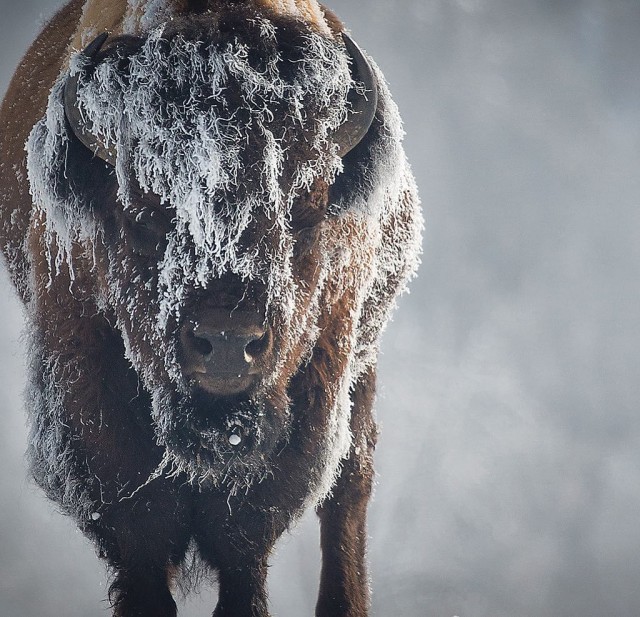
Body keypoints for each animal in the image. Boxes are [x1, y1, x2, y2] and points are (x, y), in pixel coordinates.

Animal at [1, 1, 424, 616]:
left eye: (306, 212)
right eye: (142, 216)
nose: (227, 344)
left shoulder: (316, 383)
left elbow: (244, 545)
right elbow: (143, 540)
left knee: (351, 481)